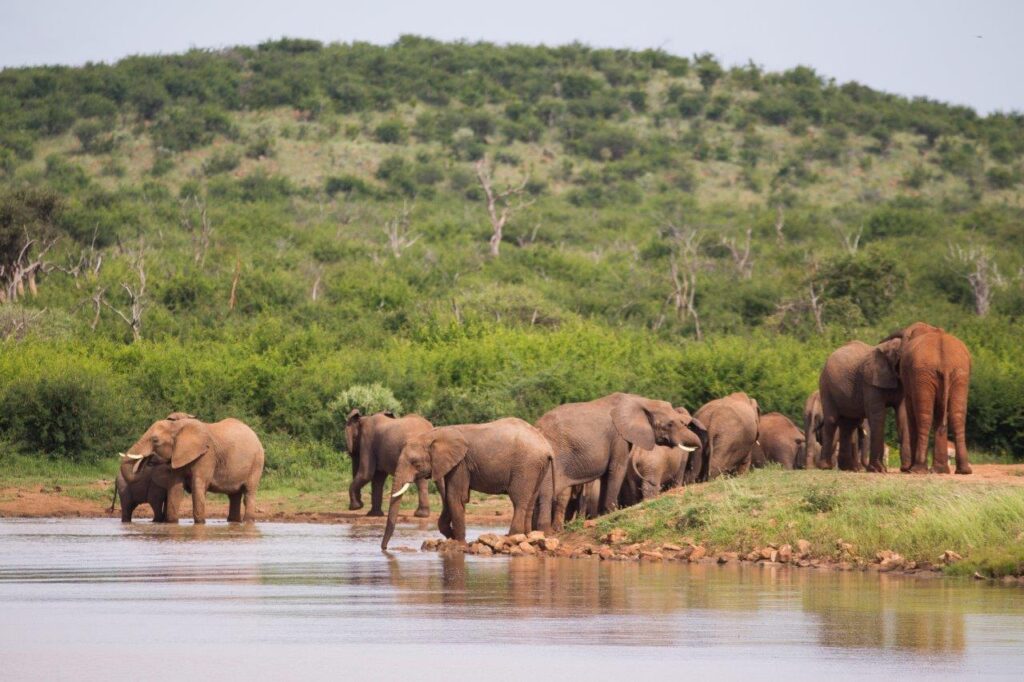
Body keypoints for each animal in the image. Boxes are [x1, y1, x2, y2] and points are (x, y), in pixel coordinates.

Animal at [120, 413, 264, 523]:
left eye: (155, 440)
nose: (148, 458)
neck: (178, 427)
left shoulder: (206, 455)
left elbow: (198, 486)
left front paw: (200, 523)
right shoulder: (178, 454)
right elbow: (175, 488)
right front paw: (172, 523)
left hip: (257, 462)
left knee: (248, 493)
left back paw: (247, 521)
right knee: (234, 495)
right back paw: (233, 522)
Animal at [381, 418, 554, 549]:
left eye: (415, 463)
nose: (384, 549)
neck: (434, 435)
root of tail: (547, 447)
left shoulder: (461, 463)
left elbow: (455, 496)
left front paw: (459, 543)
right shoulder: (453, 464)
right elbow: (450, 497)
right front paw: (451, 536)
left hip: (525, 466)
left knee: (519, 501)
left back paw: (511, 537)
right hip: (537, 468)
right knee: (531, 501)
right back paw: (527, 537)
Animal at [535, 392, 706, 532]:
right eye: (670, 424)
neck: (641, 401)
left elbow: (607, 475)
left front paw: (602, 516)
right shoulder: (618, 437)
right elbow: (617, 469)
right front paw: (611, 513)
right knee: (546, 492)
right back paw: (545, 532)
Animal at [816, 338, 909, 472]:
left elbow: (903, 415)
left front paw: (906, 468)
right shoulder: (870, 382)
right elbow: (878, 416)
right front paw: (878, 470)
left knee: (849, 425)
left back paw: (849, 468)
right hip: (826, 386)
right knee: (832, 420)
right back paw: (826, 467)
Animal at [886, 322, 972, 474]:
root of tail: (945, 362)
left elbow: (910, 409)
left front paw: (908, 469)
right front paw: (940, 471)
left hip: (925, 373)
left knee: (924, 416)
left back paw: (917, 469)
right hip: (959, 373)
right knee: (957, 416)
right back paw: (962, 471)